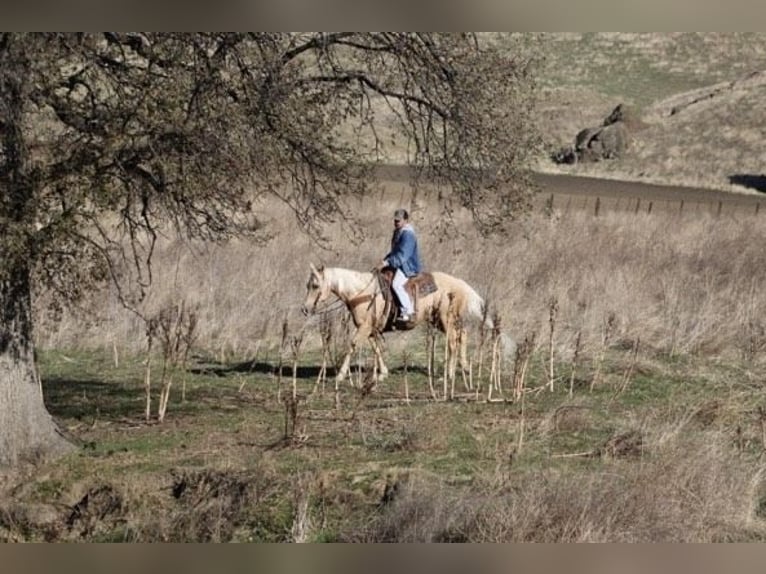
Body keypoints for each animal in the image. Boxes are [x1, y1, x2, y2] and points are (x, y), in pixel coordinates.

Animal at [302, 264, 516, 390]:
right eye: (308, 285)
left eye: (315, 285)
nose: (305, 309)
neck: (363, 293)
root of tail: (461, 284)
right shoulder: (370, 329)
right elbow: (376, 348)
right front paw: (383, 374)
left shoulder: (364, 328)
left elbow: (352, 346)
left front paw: (339, 376)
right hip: (442, 321)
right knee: (461, 336)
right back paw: (463, 368)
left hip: (446, 320)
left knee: (453, 343)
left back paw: (447, 376)